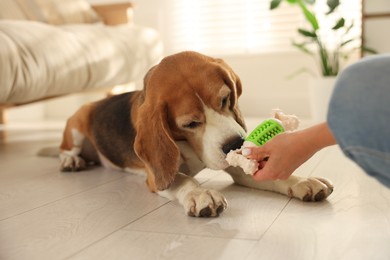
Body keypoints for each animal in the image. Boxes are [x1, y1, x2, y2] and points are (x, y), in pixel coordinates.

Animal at [59, 51, 334, 217]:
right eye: (190, 123)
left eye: (225, 99)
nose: (236, 144)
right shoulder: (156, 176)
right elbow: (183, 180)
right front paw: (201, 194)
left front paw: (301, 181)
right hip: (76, 126)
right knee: (65, 149)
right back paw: (71, 161)